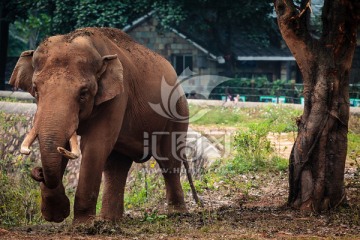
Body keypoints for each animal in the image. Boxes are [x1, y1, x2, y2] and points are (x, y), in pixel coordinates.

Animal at [9, 27, 193, 223]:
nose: (38, 171)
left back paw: (177, 213)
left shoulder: (118, 96)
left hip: (176, 111)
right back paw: (109, 220)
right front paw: (57, 214)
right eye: (36, 89)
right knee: (116, 165)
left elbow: (95, 145)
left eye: (83, 93)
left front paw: (83, 224)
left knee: (168, 159)